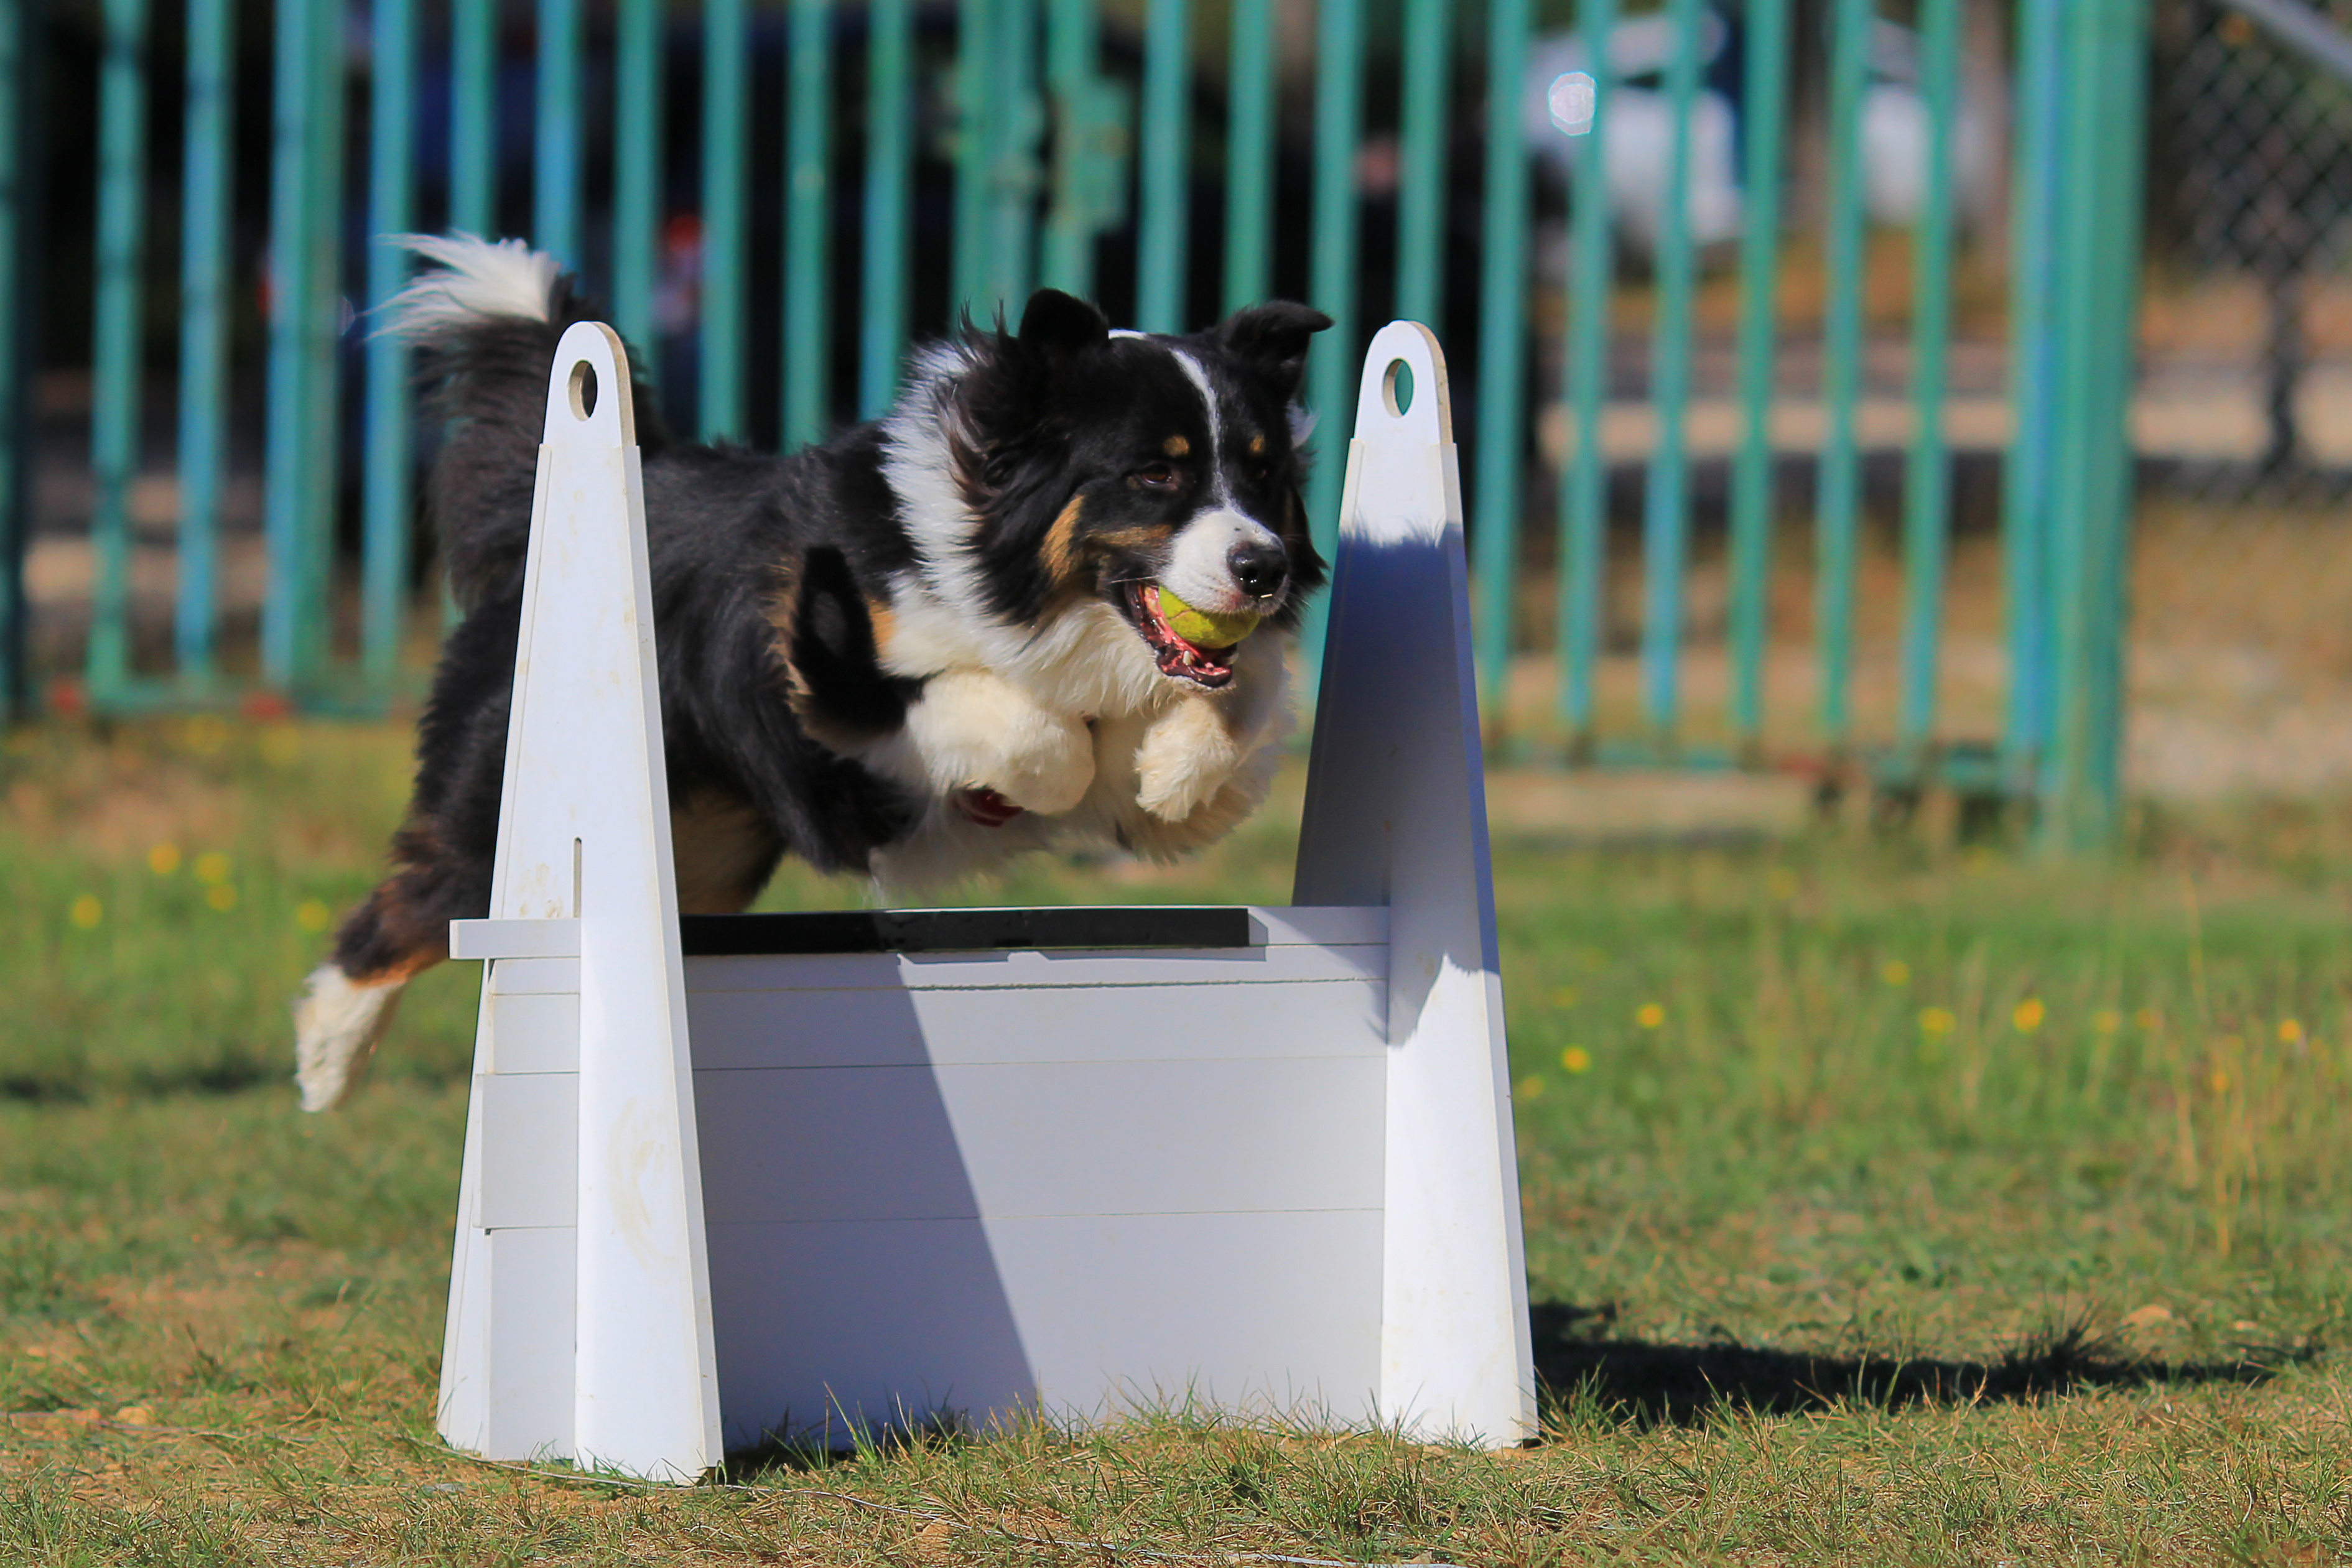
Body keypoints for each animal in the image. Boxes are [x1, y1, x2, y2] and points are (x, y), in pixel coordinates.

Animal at [291, 236, 1326, 1114]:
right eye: (1156, 474)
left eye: (1262, 475)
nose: (1264, 569)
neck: (1033, 585)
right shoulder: (829, 686)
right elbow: (1028, 728)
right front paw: (1055, 772)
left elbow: (1238, 703)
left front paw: (1167, 779)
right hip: (507, 806)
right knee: (405, 911)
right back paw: (325, 1061)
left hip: (704, 856)